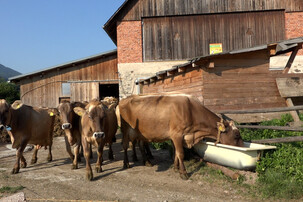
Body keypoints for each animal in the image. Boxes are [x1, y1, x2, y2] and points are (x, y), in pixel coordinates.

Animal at [117, 94, 246, 180]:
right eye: (236, 135)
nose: (243, 147)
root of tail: (124, 99)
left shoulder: (177, 137)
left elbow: (176, 153)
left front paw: (175, 168)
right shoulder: (177, 135)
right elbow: (181, 154)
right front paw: (183, 173)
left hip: (139, 133)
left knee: (140, 144)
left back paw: (147, 162)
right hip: (125, 129)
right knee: (124, 145)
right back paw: (126, 163)